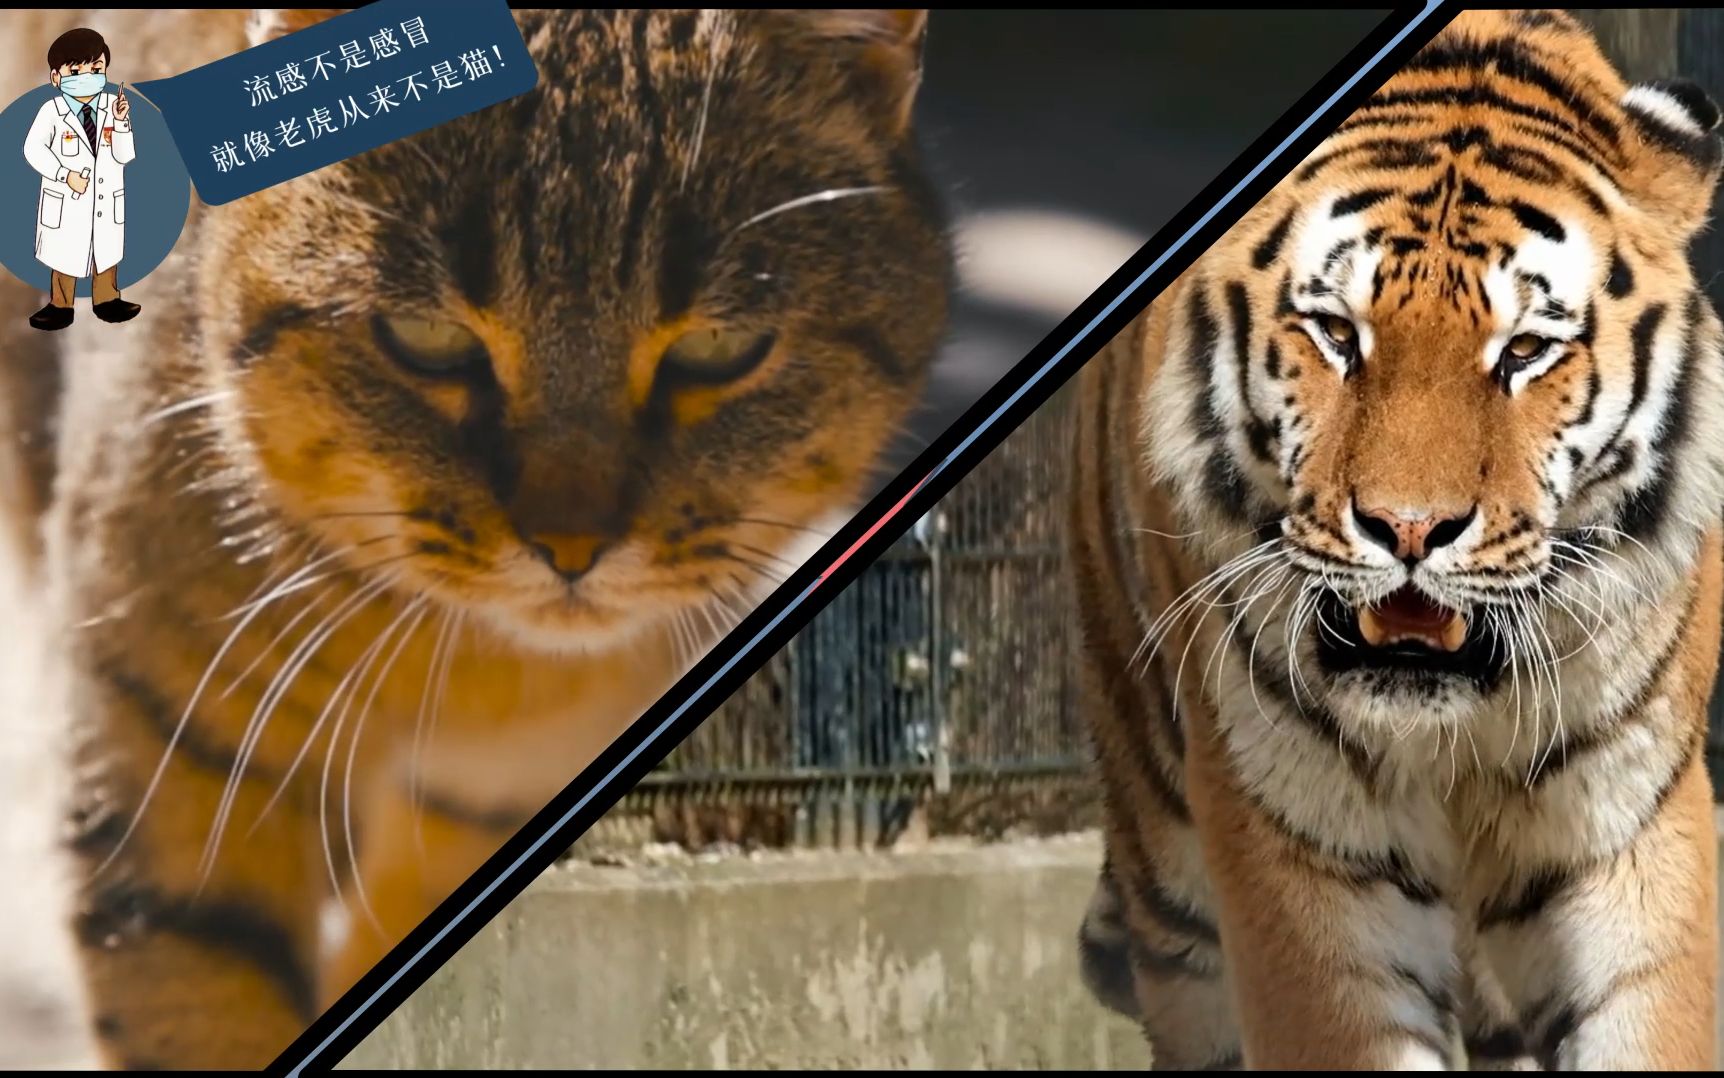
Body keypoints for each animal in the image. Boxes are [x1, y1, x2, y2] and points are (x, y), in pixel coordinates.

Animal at [1066, 10, 1724, 1070]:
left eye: (1525, 350)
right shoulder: (1304, 850)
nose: (1409, 528)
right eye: (1337, 334)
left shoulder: (1624, 827)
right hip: (1167, 864)